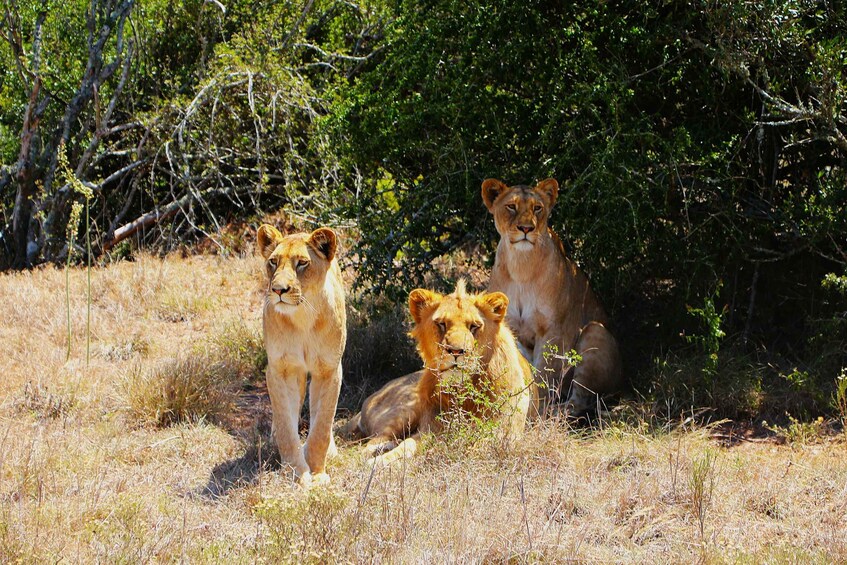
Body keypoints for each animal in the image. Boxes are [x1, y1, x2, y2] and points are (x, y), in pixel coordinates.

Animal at [257, 224, 346, 487]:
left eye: (302, 263)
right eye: (273, 262)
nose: (278, 290)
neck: (302, 318)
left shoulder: (329, 370)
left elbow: (321, 426)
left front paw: (317, 472)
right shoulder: (280, 369)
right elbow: (286, 427)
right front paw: (296, 473)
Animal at [343, 280, 538, 467]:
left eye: (474, 326)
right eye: (441, 324)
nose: (456, 351)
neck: (463, 393)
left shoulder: (503, 432)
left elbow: (473, 448)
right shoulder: (430, 428)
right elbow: (408, 445)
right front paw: (380, 463)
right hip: (406, 407)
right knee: (374, 442)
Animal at [482, 178, 623, 416]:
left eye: (537, 208)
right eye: (511, 206)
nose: (526, 228)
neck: (521, 266)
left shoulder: (553, 330)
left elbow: (544, 375)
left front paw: (536, 412)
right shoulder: (511, 329)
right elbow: (524, 370)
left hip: (594, 331)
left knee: (580, 401)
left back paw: (556, 413)